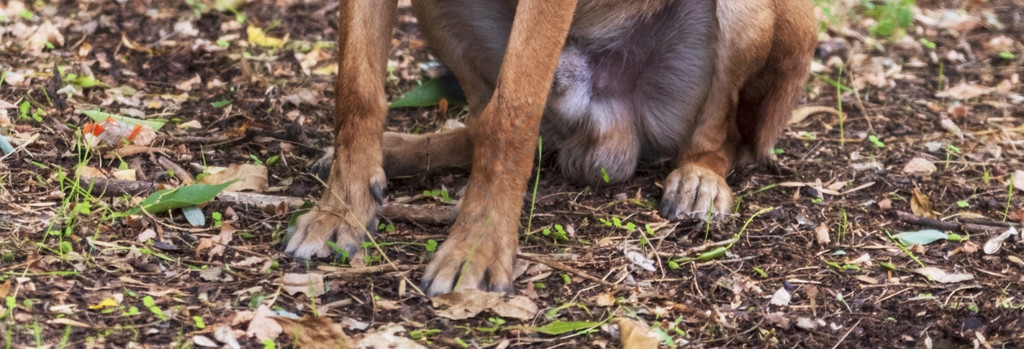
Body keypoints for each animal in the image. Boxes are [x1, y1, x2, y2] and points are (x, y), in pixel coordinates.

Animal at [282, 0, 815, 294]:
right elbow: (355, 88)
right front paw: (340, 208)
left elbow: (512, 112)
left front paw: (478, 246)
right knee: (485, 124)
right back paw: (396, 151)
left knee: (723, 139)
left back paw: (698, 180)